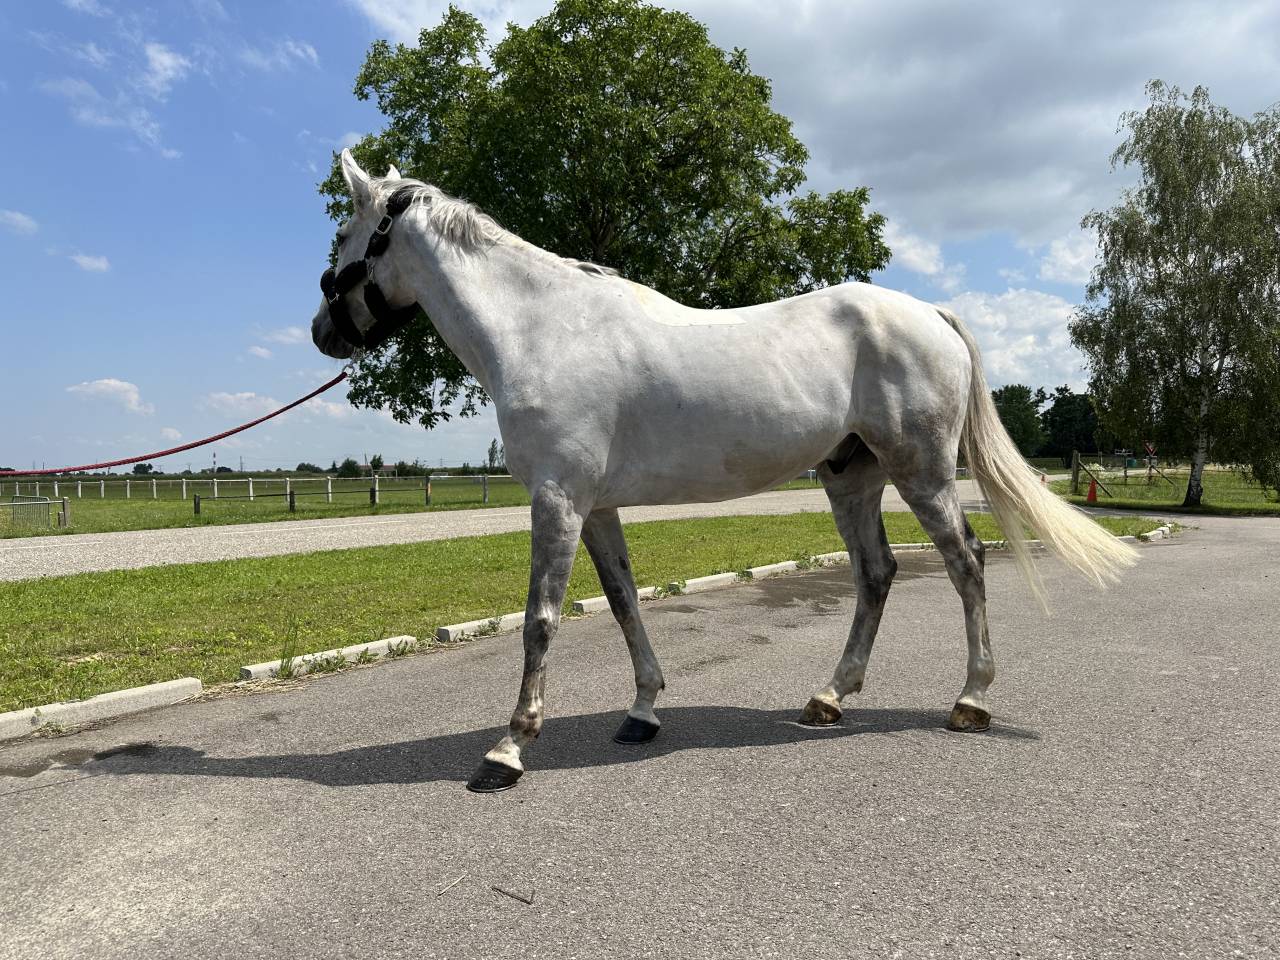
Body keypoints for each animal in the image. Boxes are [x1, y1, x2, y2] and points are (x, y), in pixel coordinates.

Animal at [311, 150, 1136, 793]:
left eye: (343, 235)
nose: (322, 332)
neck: (543, 328)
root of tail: (930, 313)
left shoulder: (557, 499)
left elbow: (541, 619)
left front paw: (508, 749)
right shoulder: (595, 506)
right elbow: (623, 602)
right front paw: (642, 711)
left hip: (921, 471)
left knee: (966, 564)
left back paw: (970, 700)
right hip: (852, 478)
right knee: (876, 574)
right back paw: (829, 697)